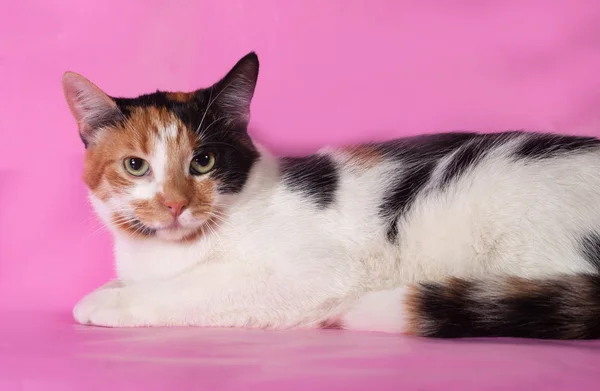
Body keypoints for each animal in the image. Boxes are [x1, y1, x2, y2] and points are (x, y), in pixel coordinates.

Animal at [62, 52, 600, 340]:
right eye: (136, 166)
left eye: (204, 162)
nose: (175, 204)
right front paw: (109, 288)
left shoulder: (308, 277)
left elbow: (194, 289)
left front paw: (108, 304)